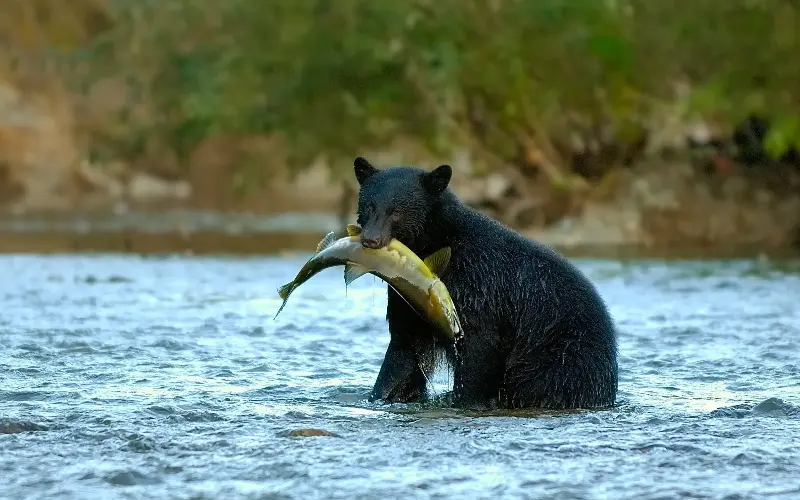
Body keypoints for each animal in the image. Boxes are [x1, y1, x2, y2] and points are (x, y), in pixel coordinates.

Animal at [353, 156, 618, 410]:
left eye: (396, 211)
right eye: (369, 206)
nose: (370, 239)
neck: (437, 246)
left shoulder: (478, 286)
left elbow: (479, 348)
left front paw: (467, 402)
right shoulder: (408, 293)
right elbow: (404, 350)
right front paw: (382, 396)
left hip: (560, 359)